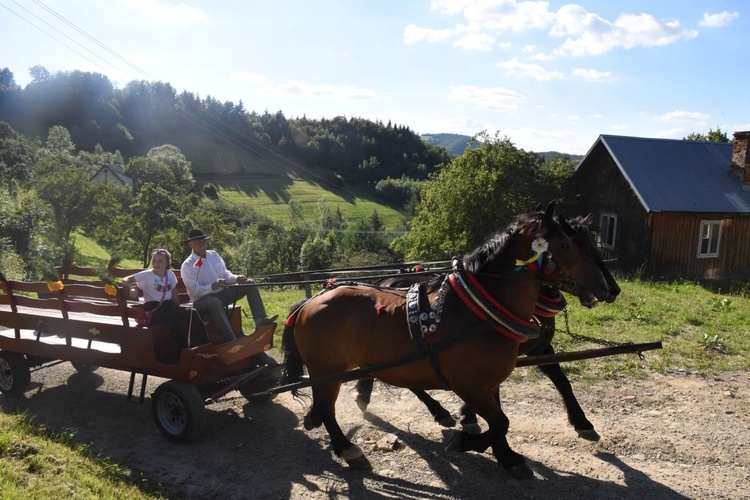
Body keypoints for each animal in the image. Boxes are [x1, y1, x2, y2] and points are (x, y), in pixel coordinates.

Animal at [282, 202, 612, 476]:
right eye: (566, 244)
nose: (606, 287)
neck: (481, 310)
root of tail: (308, 304)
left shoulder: (491, 381)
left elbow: (502, 419)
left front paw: (506, 456)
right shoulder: (470, 385)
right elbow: (501, 421)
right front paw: (466, 443)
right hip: (328, 371)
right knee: (328, 408)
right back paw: (348, 449)